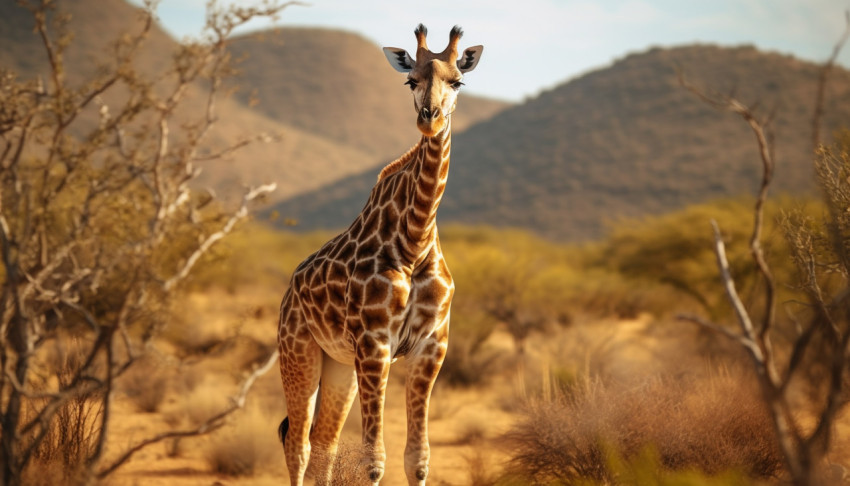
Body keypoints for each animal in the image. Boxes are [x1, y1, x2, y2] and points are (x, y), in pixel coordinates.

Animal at [274, 23, 480, 486]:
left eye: (457, 81)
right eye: (411, 80)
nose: (429, 118)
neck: (415, 239)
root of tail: (289, 291)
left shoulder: (431, 346)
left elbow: (417, 459)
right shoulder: (375, 344)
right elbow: (373, 462)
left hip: (338, 366)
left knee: (324, 447)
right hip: (298, 352)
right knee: (298, 444)